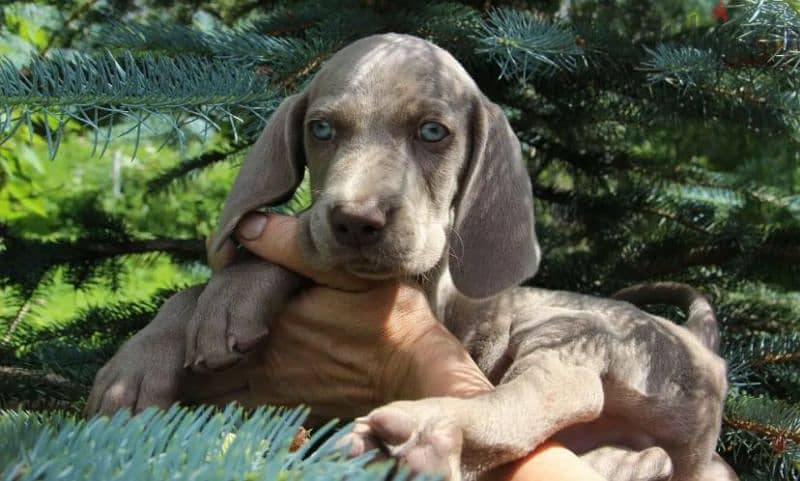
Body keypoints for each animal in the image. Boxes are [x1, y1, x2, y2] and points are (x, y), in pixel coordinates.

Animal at [86, 33, 736, 480]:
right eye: (321, 130)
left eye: (432, 132)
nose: (356, 221)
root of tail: (700, 343)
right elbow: (197, 286)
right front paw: (138, 366)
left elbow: (287, 252)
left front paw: (231, 296)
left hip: (579, 336)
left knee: (545, 395)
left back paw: (428, 432)